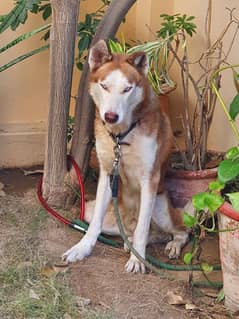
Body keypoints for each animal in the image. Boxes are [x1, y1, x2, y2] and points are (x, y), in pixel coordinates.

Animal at [63, 40, 189, 274]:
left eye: (127, 89)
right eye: (104, 86)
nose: (110, 116)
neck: (121, 136)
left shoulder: (149, 179)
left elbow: (142, 230)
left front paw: (137, 260)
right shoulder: (106, 173)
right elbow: (94, 226)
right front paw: (82, 248)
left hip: (160, 210)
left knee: (177, 231)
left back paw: (171, 246)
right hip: (93, 209)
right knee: (149, 233)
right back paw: (127, 241)